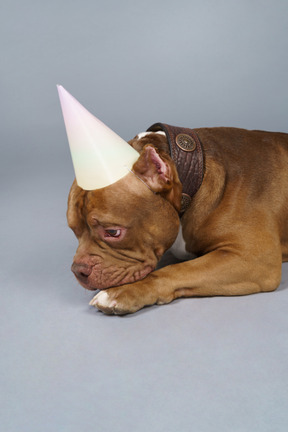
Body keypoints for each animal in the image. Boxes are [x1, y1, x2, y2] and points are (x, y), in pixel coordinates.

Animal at [67, 121, 288, 314]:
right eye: (74, 231)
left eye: (113, 232)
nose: (78, 271)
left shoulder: (253, 258)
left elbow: (177, 270)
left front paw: (124, 292)